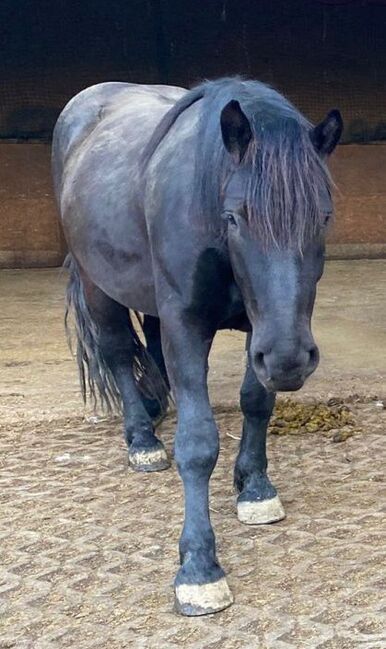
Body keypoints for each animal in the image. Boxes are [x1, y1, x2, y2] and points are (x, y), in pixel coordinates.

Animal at [50, 78, 340, 616]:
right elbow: (198, 443)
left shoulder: (261, 330)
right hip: (100, 288)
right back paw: (143, 441)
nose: (292, 359)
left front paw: (254, 488)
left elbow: (256, 401)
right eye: (234, 217)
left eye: (323, 217)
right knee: (117, 352)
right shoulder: (188, 326)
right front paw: (199, 566)